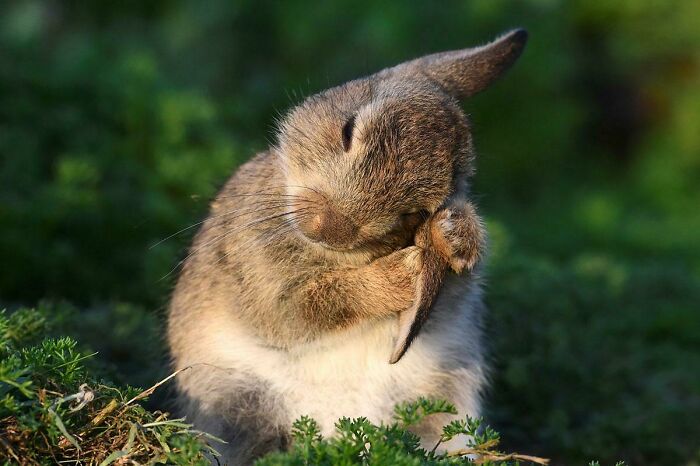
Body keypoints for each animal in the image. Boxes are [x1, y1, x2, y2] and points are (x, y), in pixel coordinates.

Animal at [167, 29, 527, 464]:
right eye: (348, 130)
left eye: (415, 212)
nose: (330, 228)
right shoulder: (257, 277)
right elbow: (304, 310)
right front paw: (402, 274)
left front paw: (457, 237)